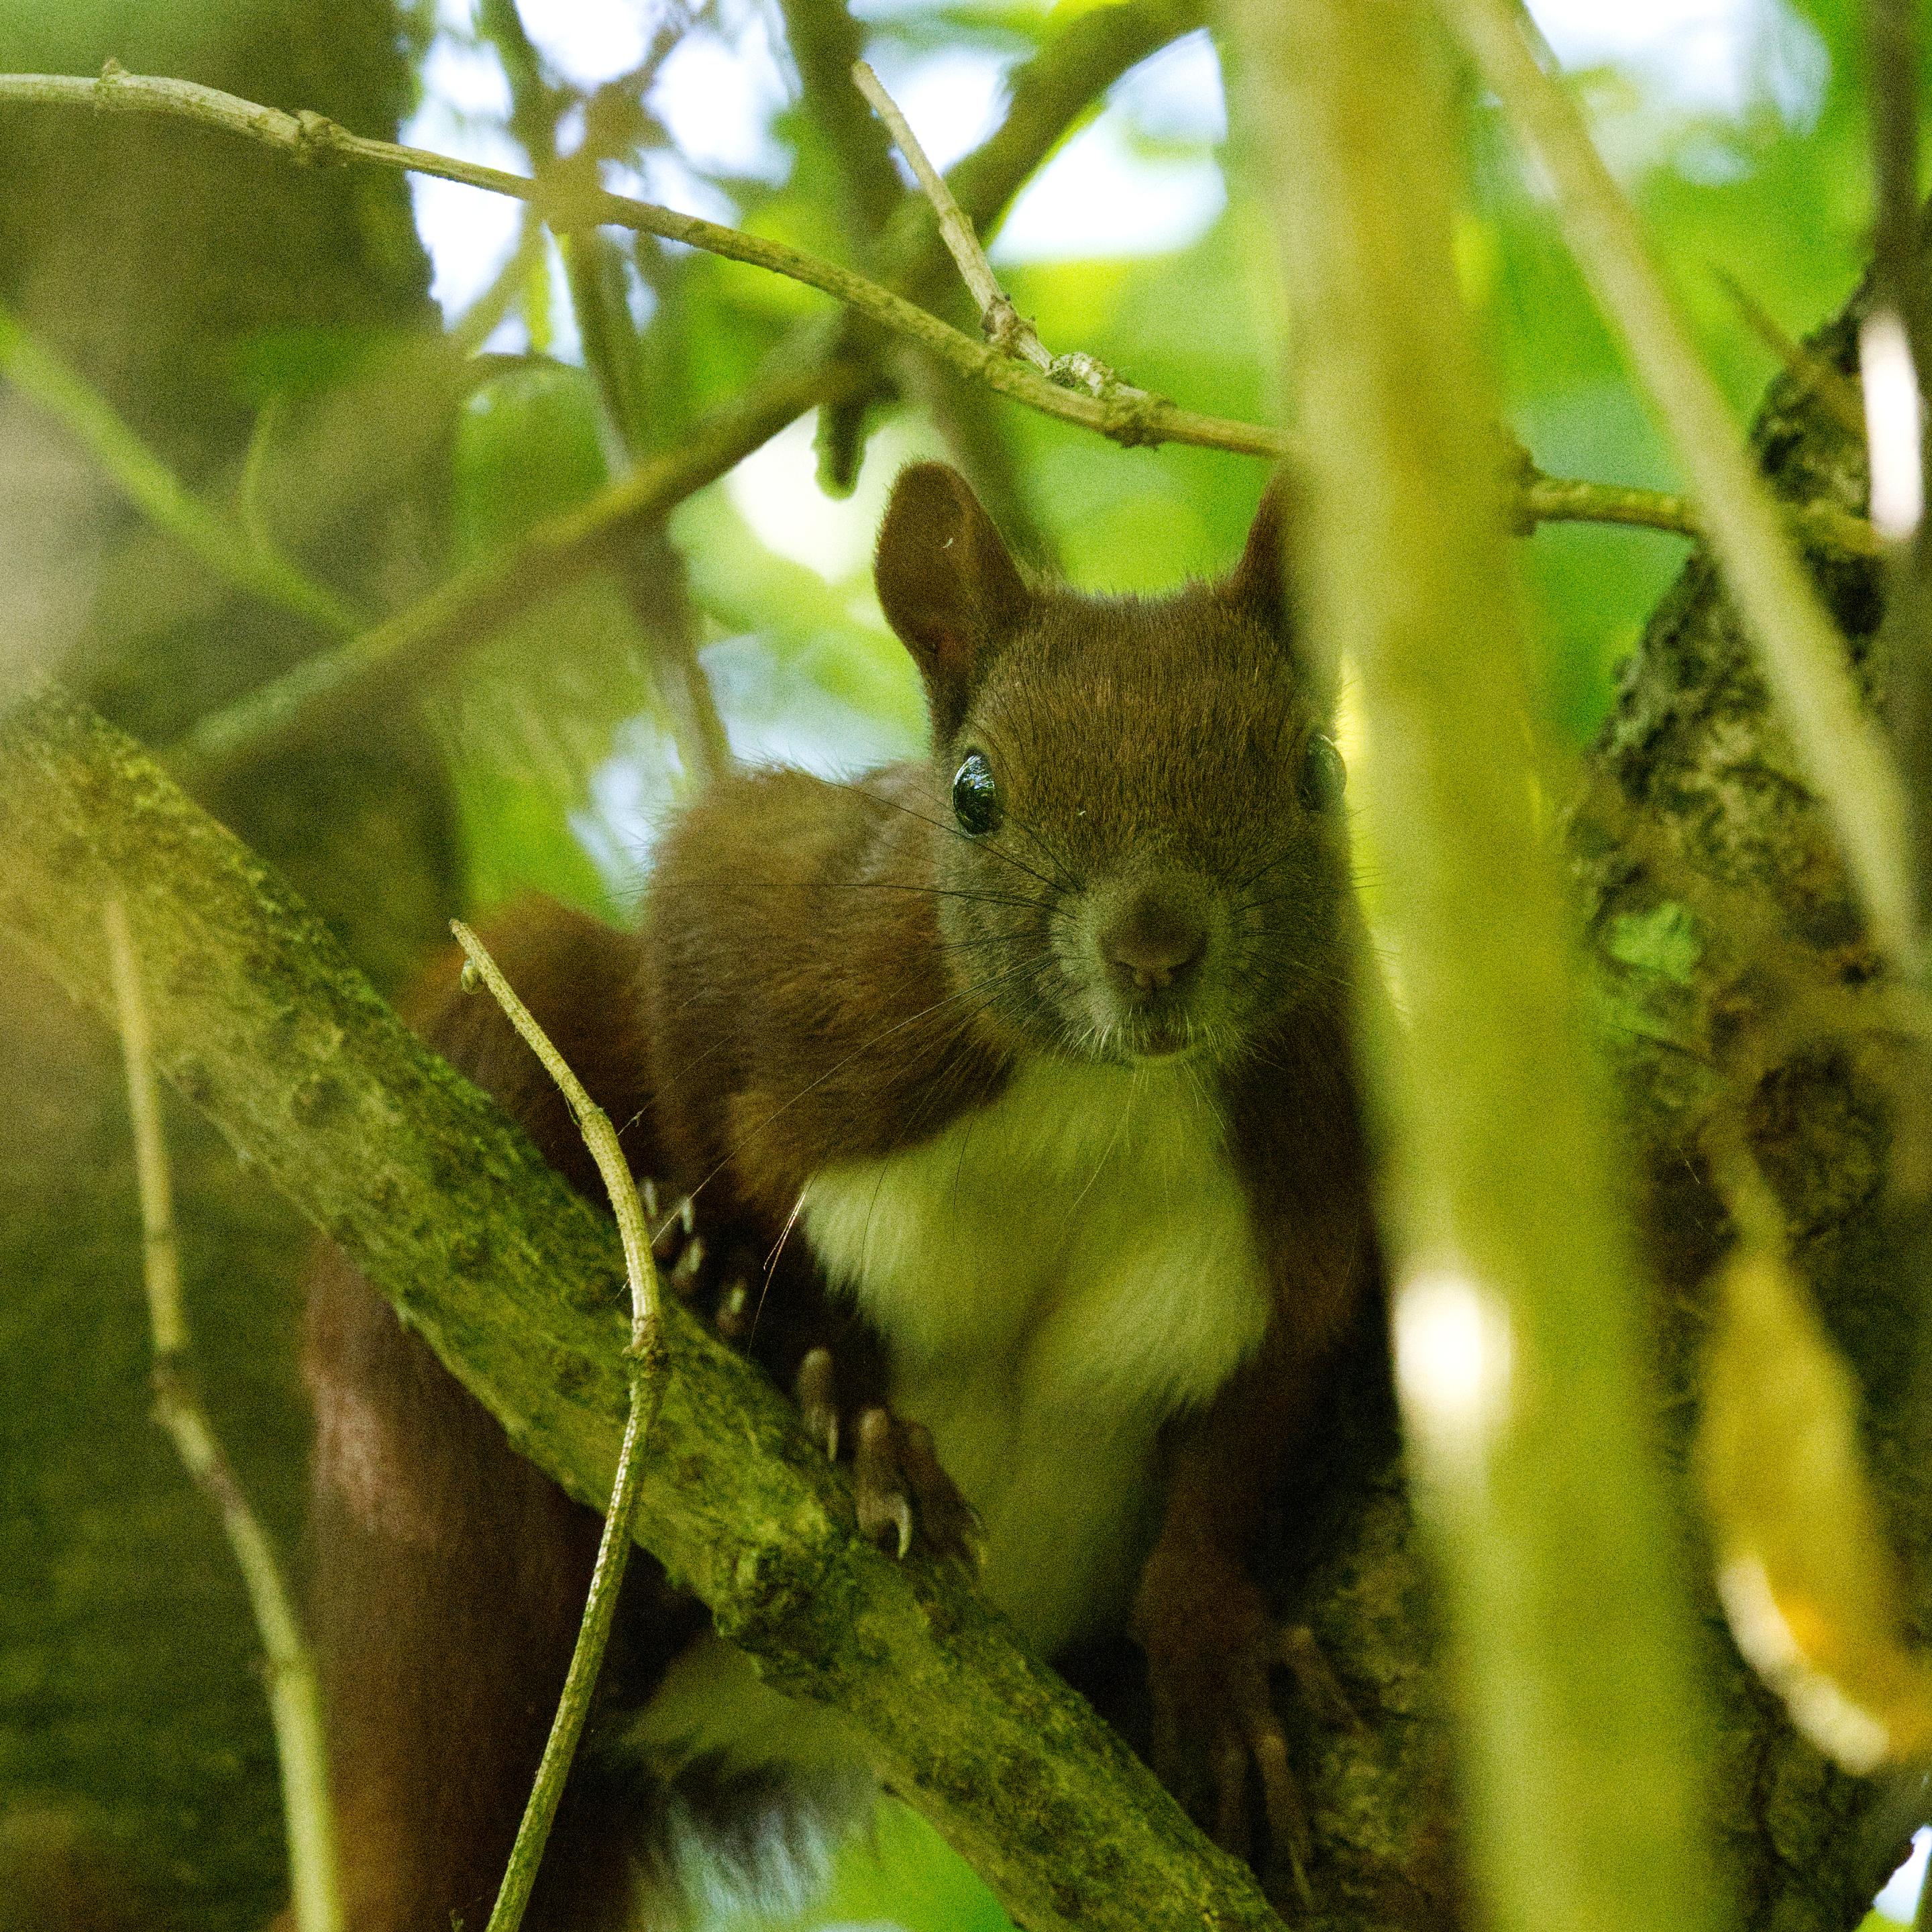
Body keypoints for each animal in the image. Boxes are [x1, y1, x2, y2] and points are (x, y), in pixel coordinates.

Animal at [300, 461, 1381, 1930]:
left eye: (1316, 772)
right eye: (973, 791)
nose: (1154, 949)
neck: (1100, 1089)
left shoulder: (1331, 1179)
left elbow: (1256, 1420)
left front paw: (1213, 1642)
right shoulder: (793, 931)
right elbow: (704, 1020)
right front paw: (817, 1367)